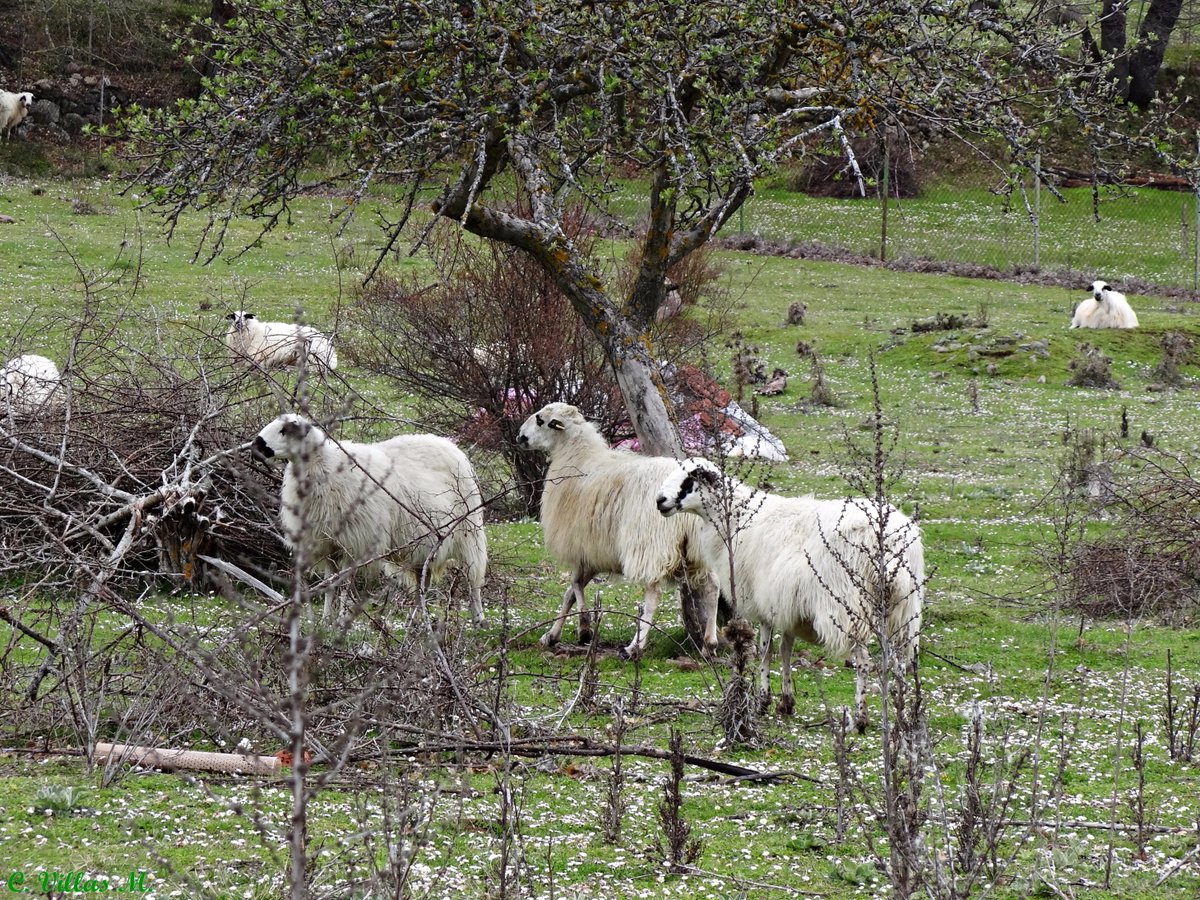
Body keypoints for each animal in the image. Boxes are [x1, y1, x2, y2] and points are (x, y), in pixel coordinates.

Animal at [252, 415, 487, 619]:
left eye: (284, 430)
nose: (255, 448)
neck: (325, 464)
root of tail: (447, 443)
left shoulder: (354, 543)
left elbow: (344, 586)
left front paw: (340, 619)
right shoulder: (328, 544)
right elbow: (329, 585)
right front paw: (325, 620)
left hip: (470, 532)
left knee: (473, 580)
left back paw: (478, 620)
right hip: (426, 547)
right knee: (423, 586)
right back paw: (415, 622)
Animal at [513, 405, 715, 657]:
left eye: (540, 420)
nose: (519, 437)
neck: (576, 456)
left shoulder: (583, 546)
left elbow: (574, 585)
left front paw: (584, 628)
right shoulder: (594, 552)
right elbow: (570, 593)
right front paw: (552, 634)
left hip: (649, 543)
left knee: (653, 596)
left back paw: (635, 646)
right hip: (702, 546)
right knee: (714, 587)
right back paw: (709, 644)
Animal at [657, 460, 926, 729]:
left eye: (691, 478)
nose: (660, 500)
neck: (735, 517)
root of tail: (890, 543)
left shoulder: (764, 604)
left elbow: (765, 652)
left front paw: (763, 701)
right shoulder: (787, 606)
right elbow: (785, 649)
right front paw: (785, 702)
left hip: (849, 606)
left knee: (863, 661)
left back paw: (859, 720)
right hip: (901, 610)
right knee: (898, 661)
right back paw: (901, 717)